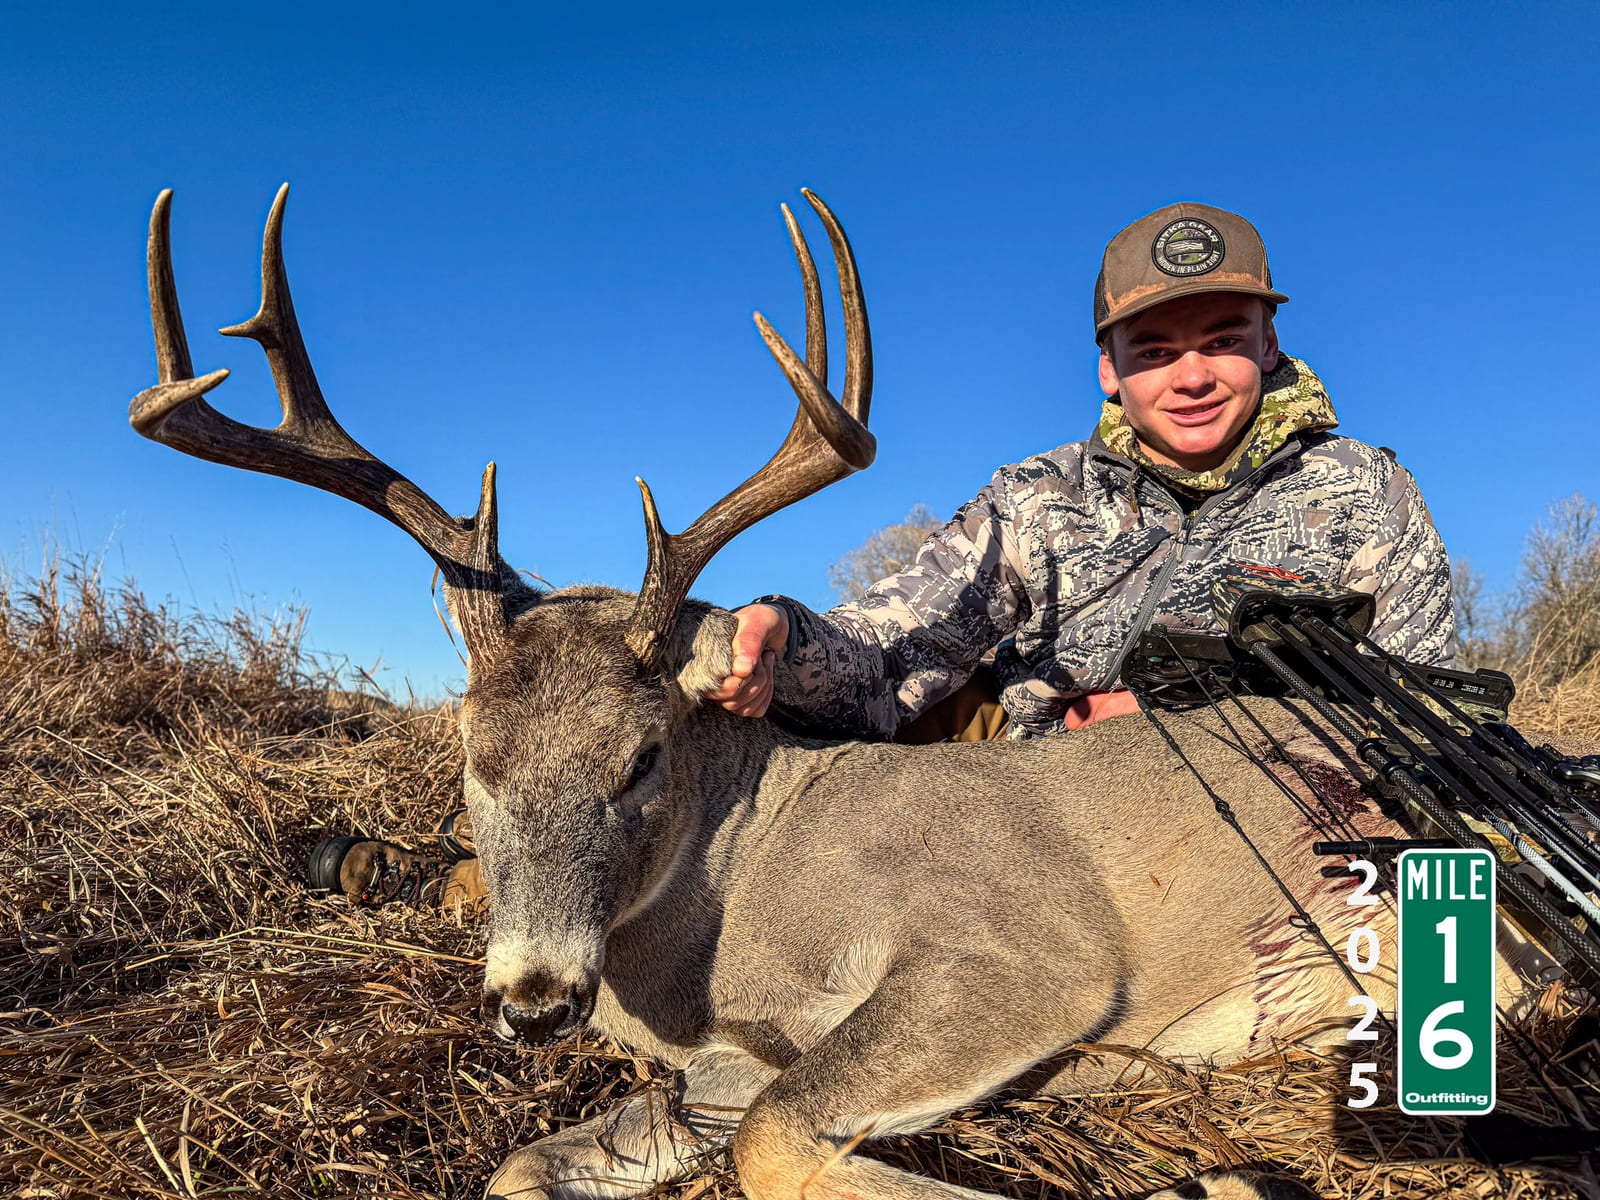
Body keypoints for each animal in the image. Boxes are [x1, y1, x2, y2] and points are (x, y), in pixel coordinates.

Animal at [130, 185, 1566, 1200]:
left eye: (641, 757)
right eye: (472, 755)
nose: (534, 1000)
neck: (728, 925)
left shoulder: (1026, 952)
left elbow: (773, 1142)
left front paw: (1212, 1179)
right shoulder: (713, 1068)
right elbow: (525, 1167)